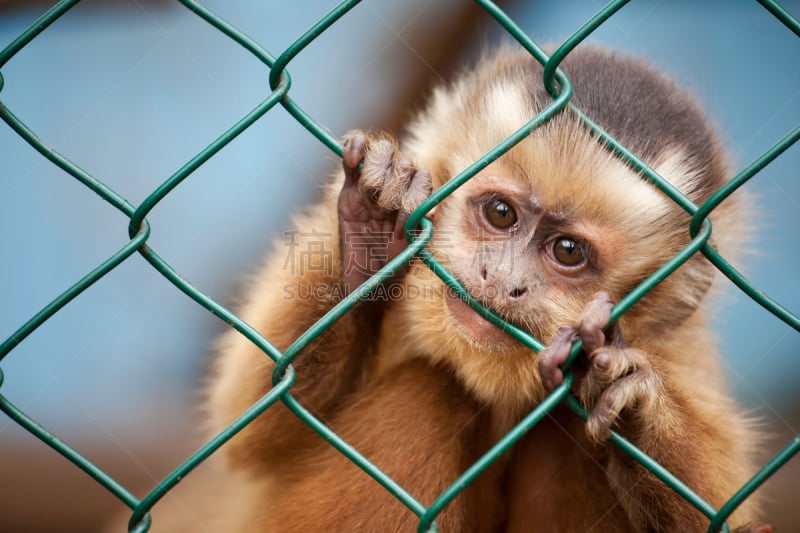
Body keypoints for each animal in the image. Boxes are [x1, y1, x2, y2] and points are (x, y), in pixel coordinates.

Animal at [203, 45, 772, 532]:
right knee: (430, 392)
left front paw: (632, 398)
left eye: (568, 251)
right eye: (501, 213)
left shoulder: (674, 344)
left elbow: (725, 515)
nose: (503, 280)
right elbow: (260, 434)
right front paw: (369, 236)